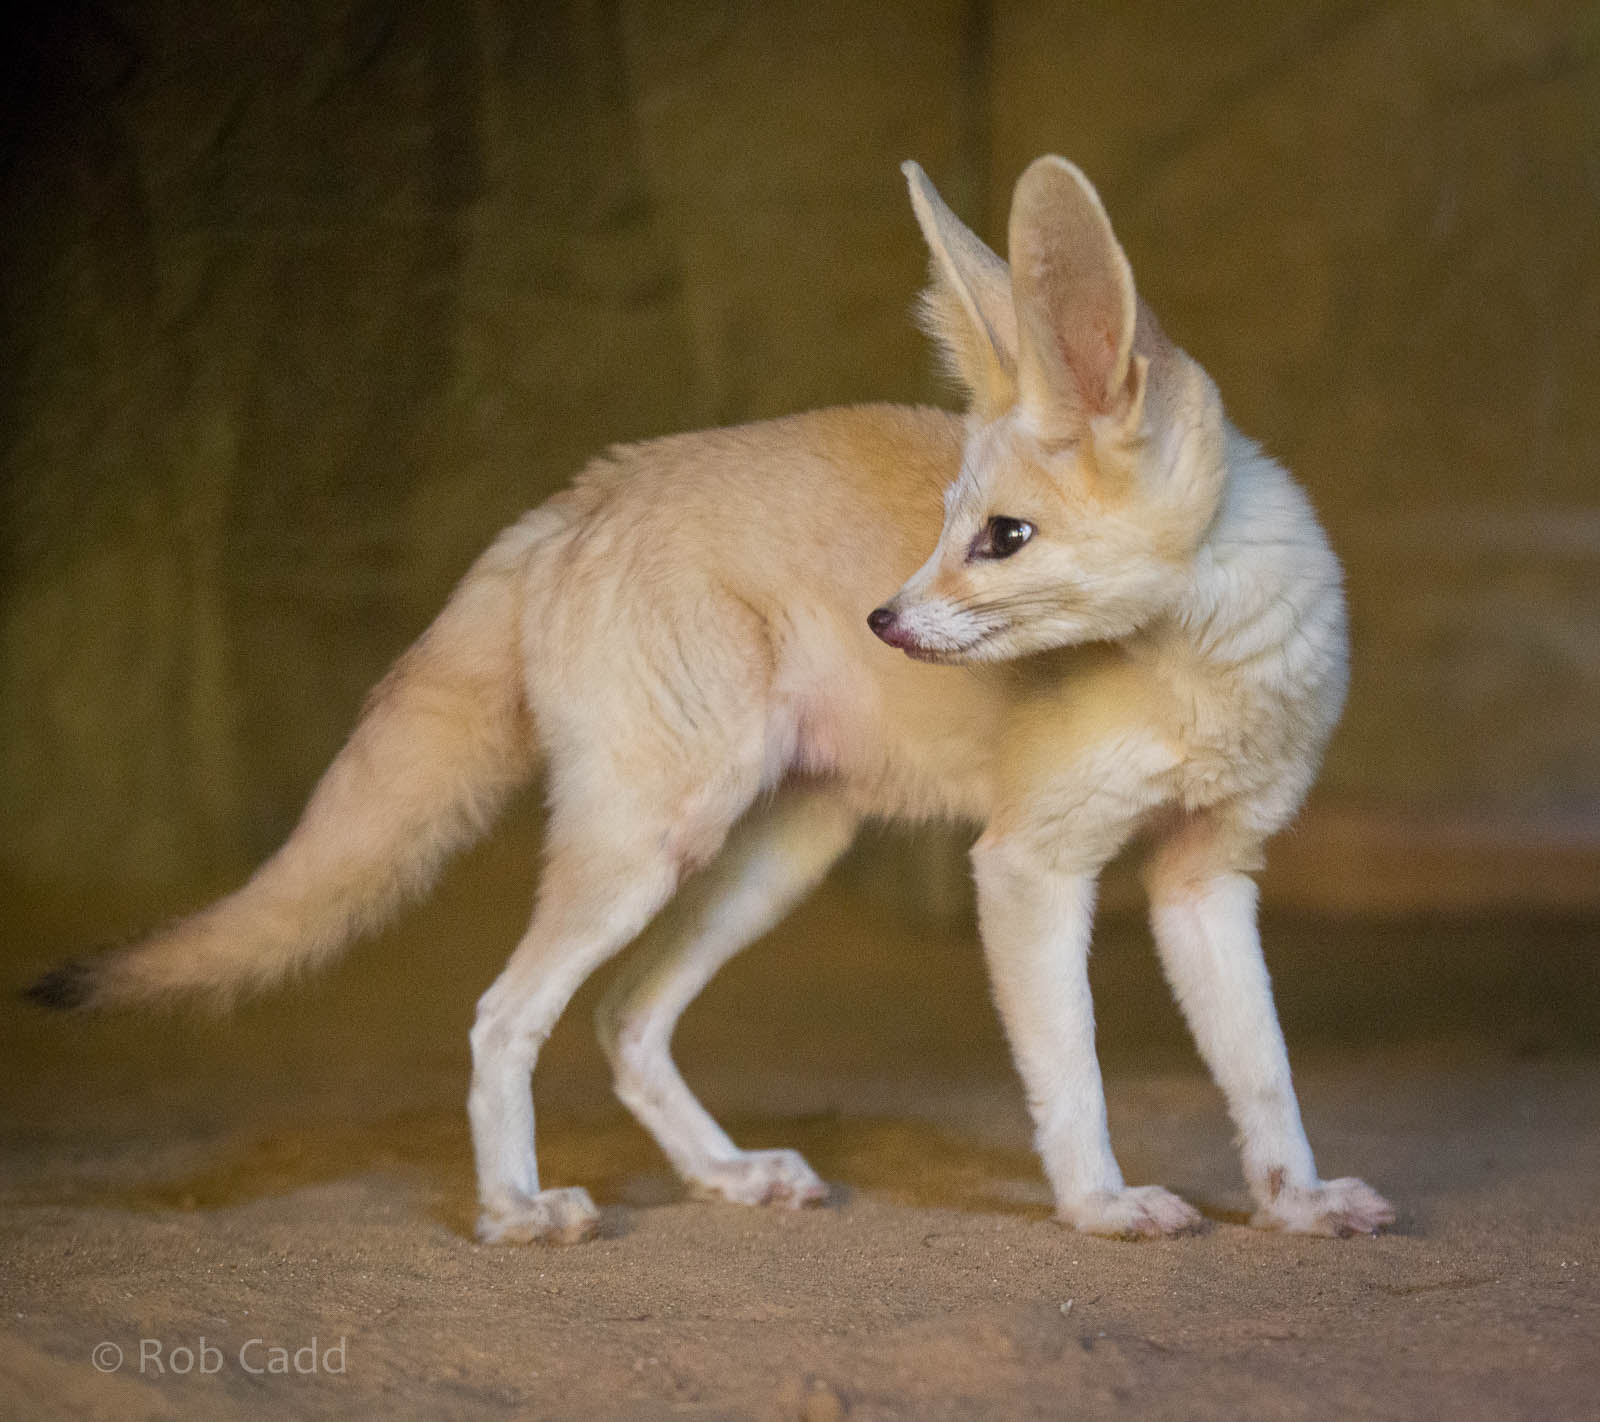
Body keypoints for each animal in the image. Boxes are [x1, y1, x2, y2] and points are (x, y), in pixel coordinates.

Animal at [27, 155, 1394, 1246]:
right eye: (947, 530)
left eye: (1002, 538)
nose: (884, 624)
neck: (1208, 676)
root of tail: (583, 494)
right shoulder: (1026, 864)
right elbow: (1075, 1076)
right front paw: (1100, 1206)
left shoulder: (1206, 876)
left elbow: (1262, 1076)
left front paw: (1292, 1203)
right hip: (654, 846)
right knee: (503, 1018)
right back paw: (514, 1212)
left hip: (770, 859)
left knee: (622, 1020)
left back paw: (725, 1176)